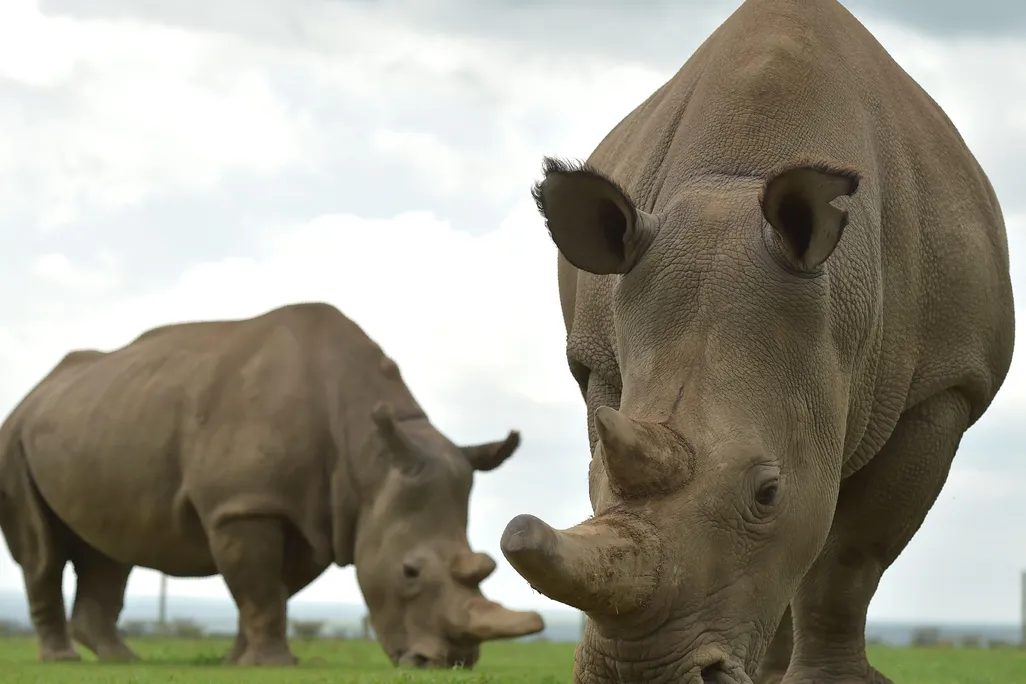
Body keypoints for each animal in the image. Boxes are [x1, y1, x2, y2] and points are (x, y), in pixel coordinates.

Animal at [0, 301, 543, 667]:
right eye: (409, 572)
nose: (451, 664)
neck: (367, 458)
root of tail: (37, 392)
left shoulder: (317, 513)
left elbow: (271, 588)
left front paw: (239, 663)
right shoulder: (245, 506)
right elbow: (260, 588)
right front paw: (272, 665)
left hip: (99, 417)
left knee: (109, 550)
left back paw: (122, 660)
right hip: (14, 436)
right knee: (42, 554)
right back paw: (63, 661)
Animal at [498, 1, 1015, 683]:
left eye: (767, 493)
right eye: (590, 479)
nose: (638, 674)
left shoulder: (945, 384)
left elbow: (850, 554)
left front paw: (834, 683)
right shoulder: (601, 365)